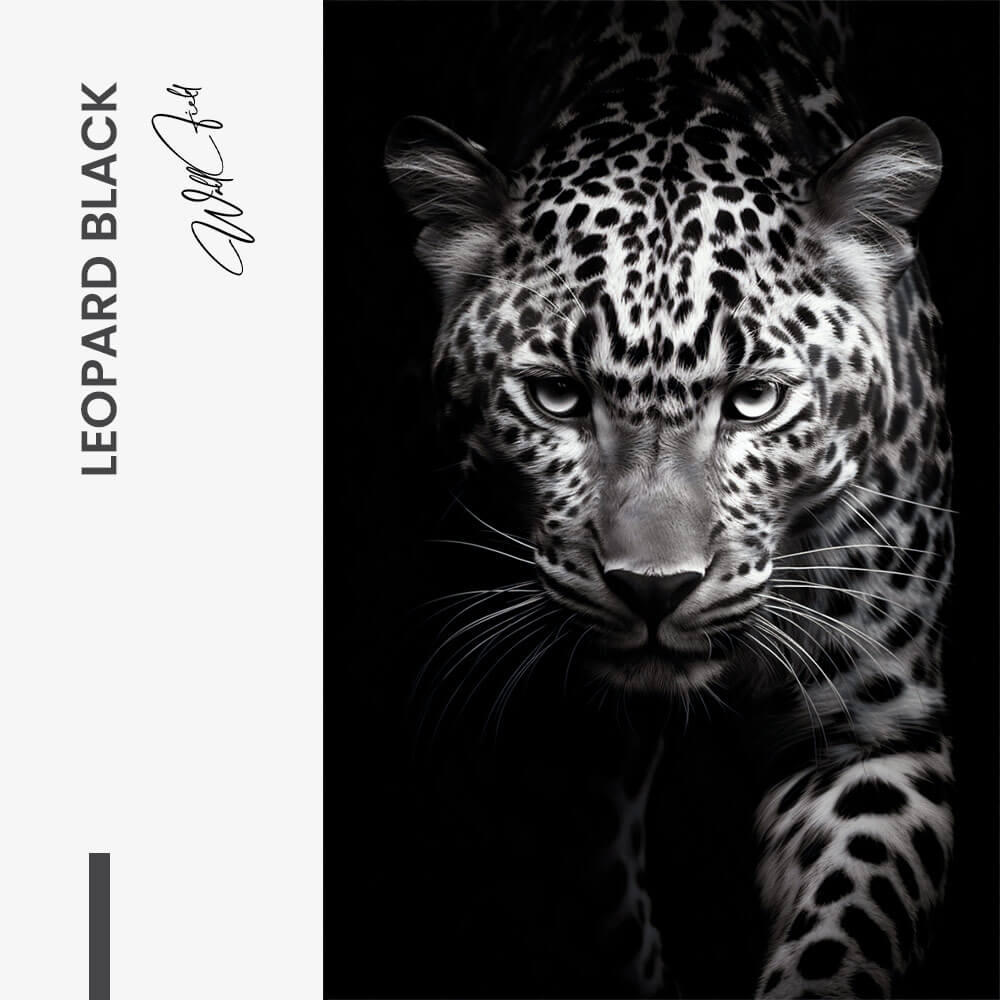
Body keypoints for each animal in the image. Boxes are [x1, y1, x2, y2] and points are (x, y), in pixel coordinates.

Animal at [385, 2, 954, 997]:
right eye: (557, 397)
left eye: (755, 399)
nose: (655, 589)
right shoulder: (553, 750)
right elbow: (604, 921)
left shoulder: (876, 737)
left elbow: (843, 935)